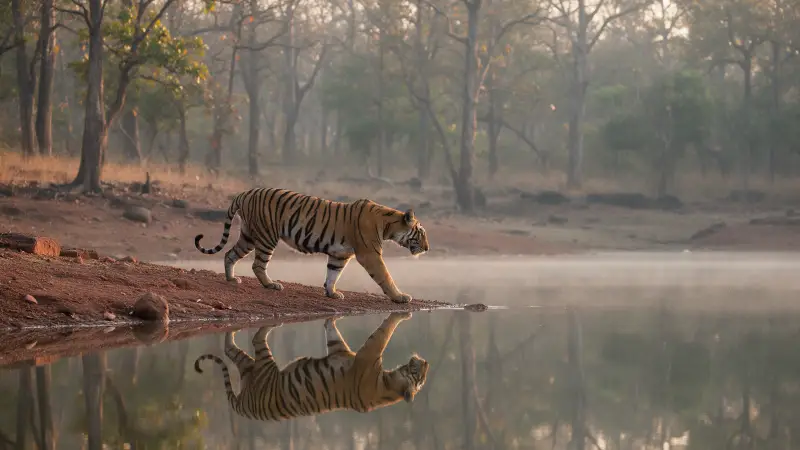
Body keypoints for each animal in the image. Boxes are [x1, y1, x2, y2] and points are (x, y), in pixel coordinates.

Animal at [193, 312, 429, 421]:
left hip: (260, 369)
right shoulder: (347, 352)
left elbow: (383, 333)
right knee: (235, 347)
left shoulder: (363, 354)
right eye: (421, 377)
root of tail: (245, 410)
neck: (388, 384)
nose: (427, 362)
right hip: (254, 369)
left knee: (246, 343)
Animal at [194, 188, 430, 303]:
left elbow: (333, 274)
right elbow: (385, 276)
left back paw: (231, 279)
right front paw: (400, 297)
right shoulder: (369, 254)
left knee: (230, 254)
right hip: (267, 236)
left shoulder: (340, 254)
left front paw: (332, 293)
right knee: (257, 265)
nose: (428, 248)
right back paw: (271, 284)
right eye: (421, 233)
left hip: (249, 235)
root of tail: (245, 193)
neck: (388, 224)